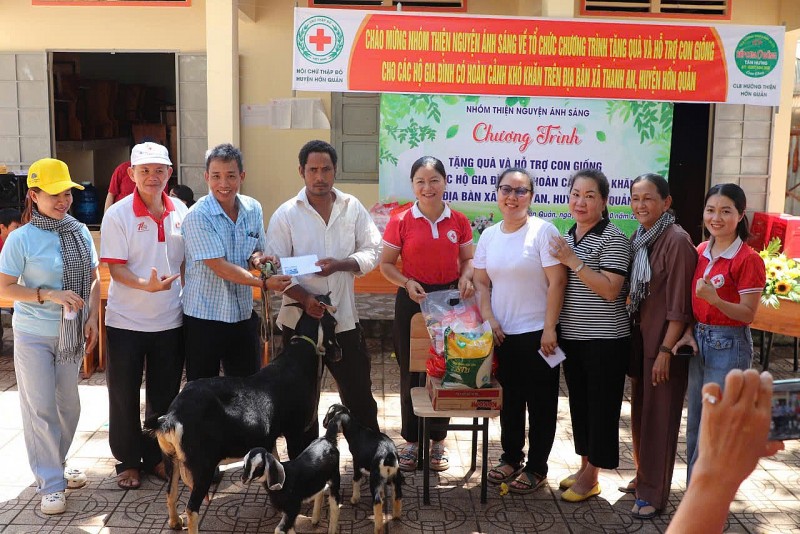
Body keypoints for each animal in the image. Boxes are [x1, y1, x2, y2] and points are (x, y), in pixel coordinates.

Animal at [147, 296, 338, 532]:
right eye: (334, 323)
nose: (338, 353)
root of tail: (171, 417)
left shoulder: (269, 439)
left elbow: (276, 462)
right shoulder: (294, 430)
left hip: (170, 457)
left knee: (170, 492)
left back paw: (174, 522)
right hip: (203, 464)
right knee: (192, 509)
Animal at [322, 404, 404, 532]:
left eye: (329, 414)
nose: (323, 424)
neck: (356, 431)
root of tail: (389, 455)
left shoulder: (356, 462)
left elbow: (356, 479)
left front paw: (354, 499)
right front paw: (382, 493)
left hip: (375, 477)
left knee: (377, 502)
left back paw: (378, 528)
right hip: (395, 477)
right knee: (398, 496)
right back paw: (396, 516)